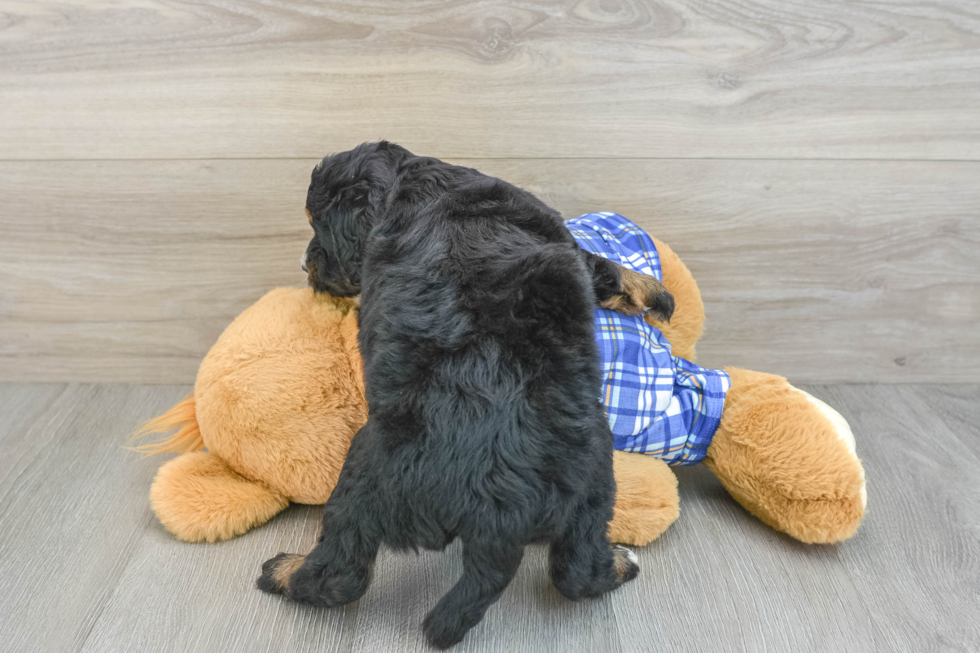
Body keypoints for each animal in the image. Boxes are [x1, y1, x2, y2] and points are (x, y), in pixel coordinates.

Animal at [258, 141, 672, 648]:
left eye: (317, 222)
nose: (305, 264)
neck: (413, 182)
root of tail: (500, 515)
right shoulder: (562, 238)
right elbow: (601, 265)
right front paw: (657, 292)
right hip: (595, 476)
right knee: (575, 570)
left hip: (365, 470)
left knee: (343, 570)